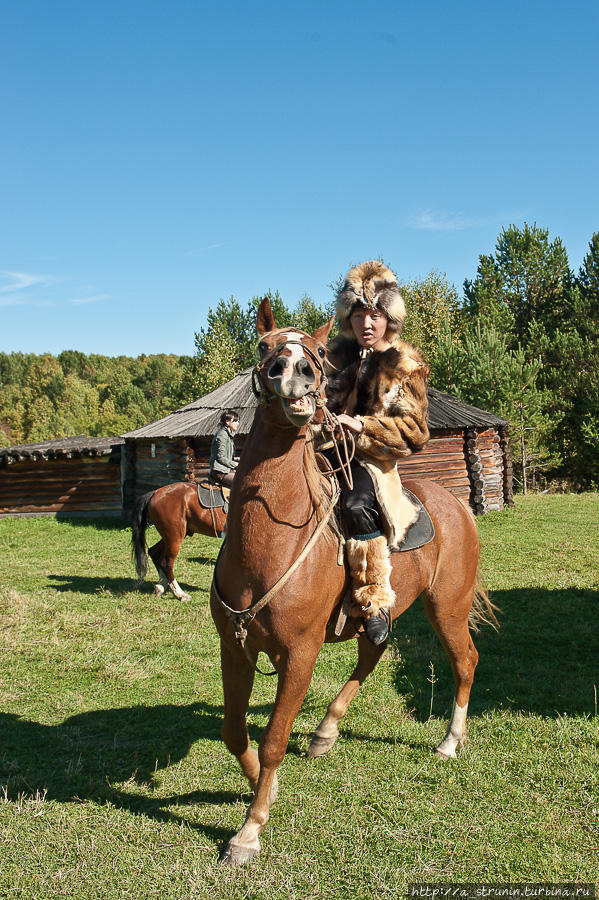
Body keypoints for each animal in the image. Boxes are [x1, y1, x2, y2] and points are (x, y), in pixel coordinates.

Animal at [212, 298, 496, 868]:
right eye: (263, 345)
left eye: (318, 352)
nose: (293, 371)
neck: (268, 543)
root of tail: (457, 504)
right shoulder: (236, 649)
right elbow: (234, 731)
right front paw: (258, 787)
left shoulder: (300, 654)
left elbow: (273, 739)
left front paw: (250, 830)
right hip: (380, 613)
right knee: (374, 651)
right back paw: (326, 730)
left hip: (447, 608)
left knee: (465, 662)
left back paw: (449, 741)